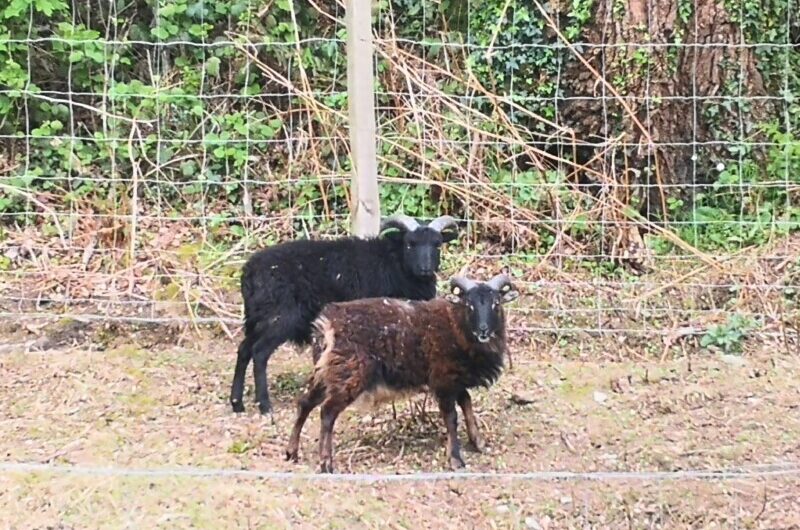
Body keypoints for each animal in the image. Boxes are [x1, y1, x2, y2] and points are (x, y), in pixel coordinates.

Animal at [229, 214, 459, 415]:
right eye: (410, 243)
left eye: (437, 244)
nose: (425, 268)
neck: (395, 263)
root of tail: (249, 272)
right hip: (279, 319)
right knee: (259, 353)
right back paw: (264, 406)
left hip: (257, 319)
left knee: (243, 350)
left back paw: (237, 403)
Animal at [285, 273, 519, 473]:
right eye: (469, 305)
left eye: (496, 303)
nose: (483, 330)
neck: (457, 326)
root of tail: (327, 324)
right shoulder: (443, 379)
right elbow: (452, 417)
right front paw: (455, 459)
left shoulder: (455, 378)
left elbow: (467, 404)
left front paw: (478, 442)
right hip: (349, 374)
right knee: (327, 412)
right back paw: (326, 463)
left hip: (327, 372)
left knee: (304, 403)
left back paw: (291, 452)